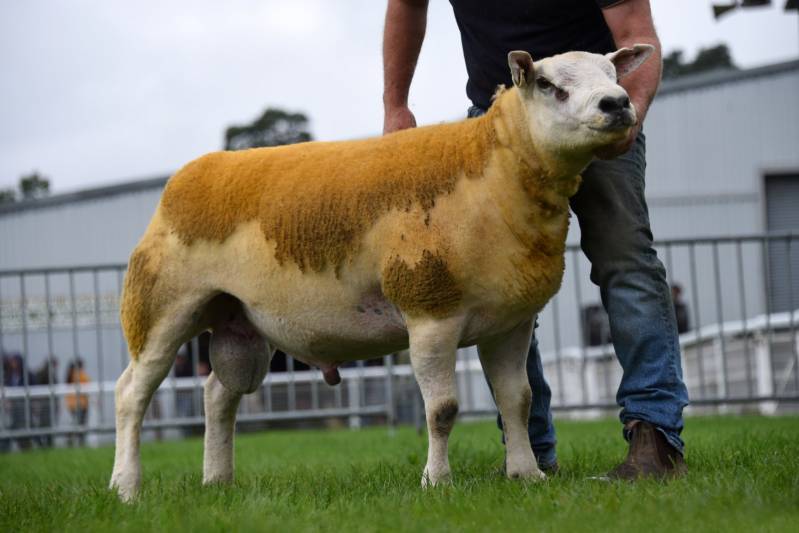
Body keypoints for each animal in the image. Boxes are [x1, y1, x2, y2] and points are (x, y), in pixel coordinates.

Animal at [109, 44, 652, 498]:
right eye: (549, 84)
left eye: (612, 75)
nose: (617, 103)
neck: (493, 173)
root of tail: (190, 174)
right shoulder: (429, 311)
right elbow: (442, 409)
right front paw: (437, 481)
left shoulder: (512, 322)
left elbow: (517, 399)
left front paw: (527, 474)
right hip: (162, 306)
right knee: (132, 394)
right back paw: (126, 488)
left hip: (238, 318)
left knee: (217, 396)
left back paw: (217, 481)